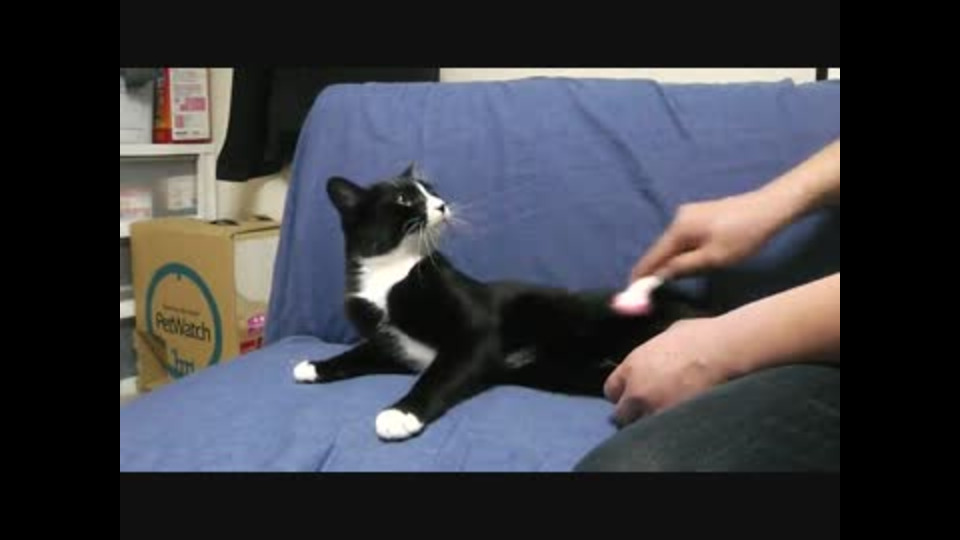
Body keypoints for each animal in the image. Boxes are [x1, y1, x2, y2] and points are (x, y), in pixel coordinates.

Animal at [293, 164, 708, 441]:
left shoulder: (475, 332)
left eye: (432, 190)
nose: (442, 205)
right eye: (405, 198)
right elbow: (359, 353)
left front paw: (401, 413)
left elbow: (440, 373)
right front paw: (315, 366)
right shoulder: (391, 343)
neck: (393, 272)